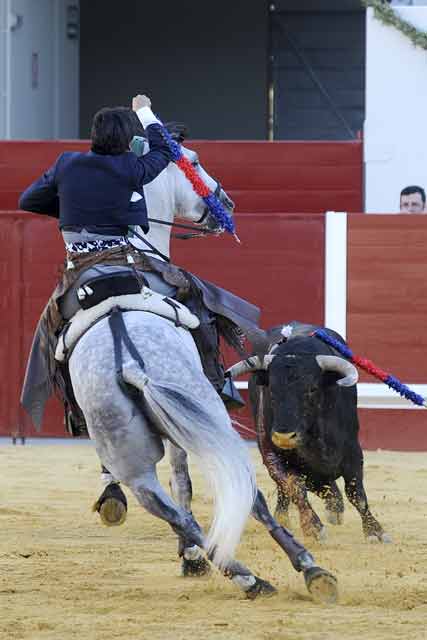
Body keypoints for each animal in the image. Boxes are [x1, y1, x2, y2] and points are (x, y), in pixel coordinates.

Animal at [241, 322, 392, 544]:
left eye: (312, 389)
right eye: (272, 390)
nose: (284, 437)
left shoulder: (353, 452)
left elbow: (356, 493)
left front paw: (375, 531)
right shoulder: (276, 455)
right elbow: (295, 487)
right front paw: (313, 527)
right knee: (286, 488)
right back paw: (284, 518)